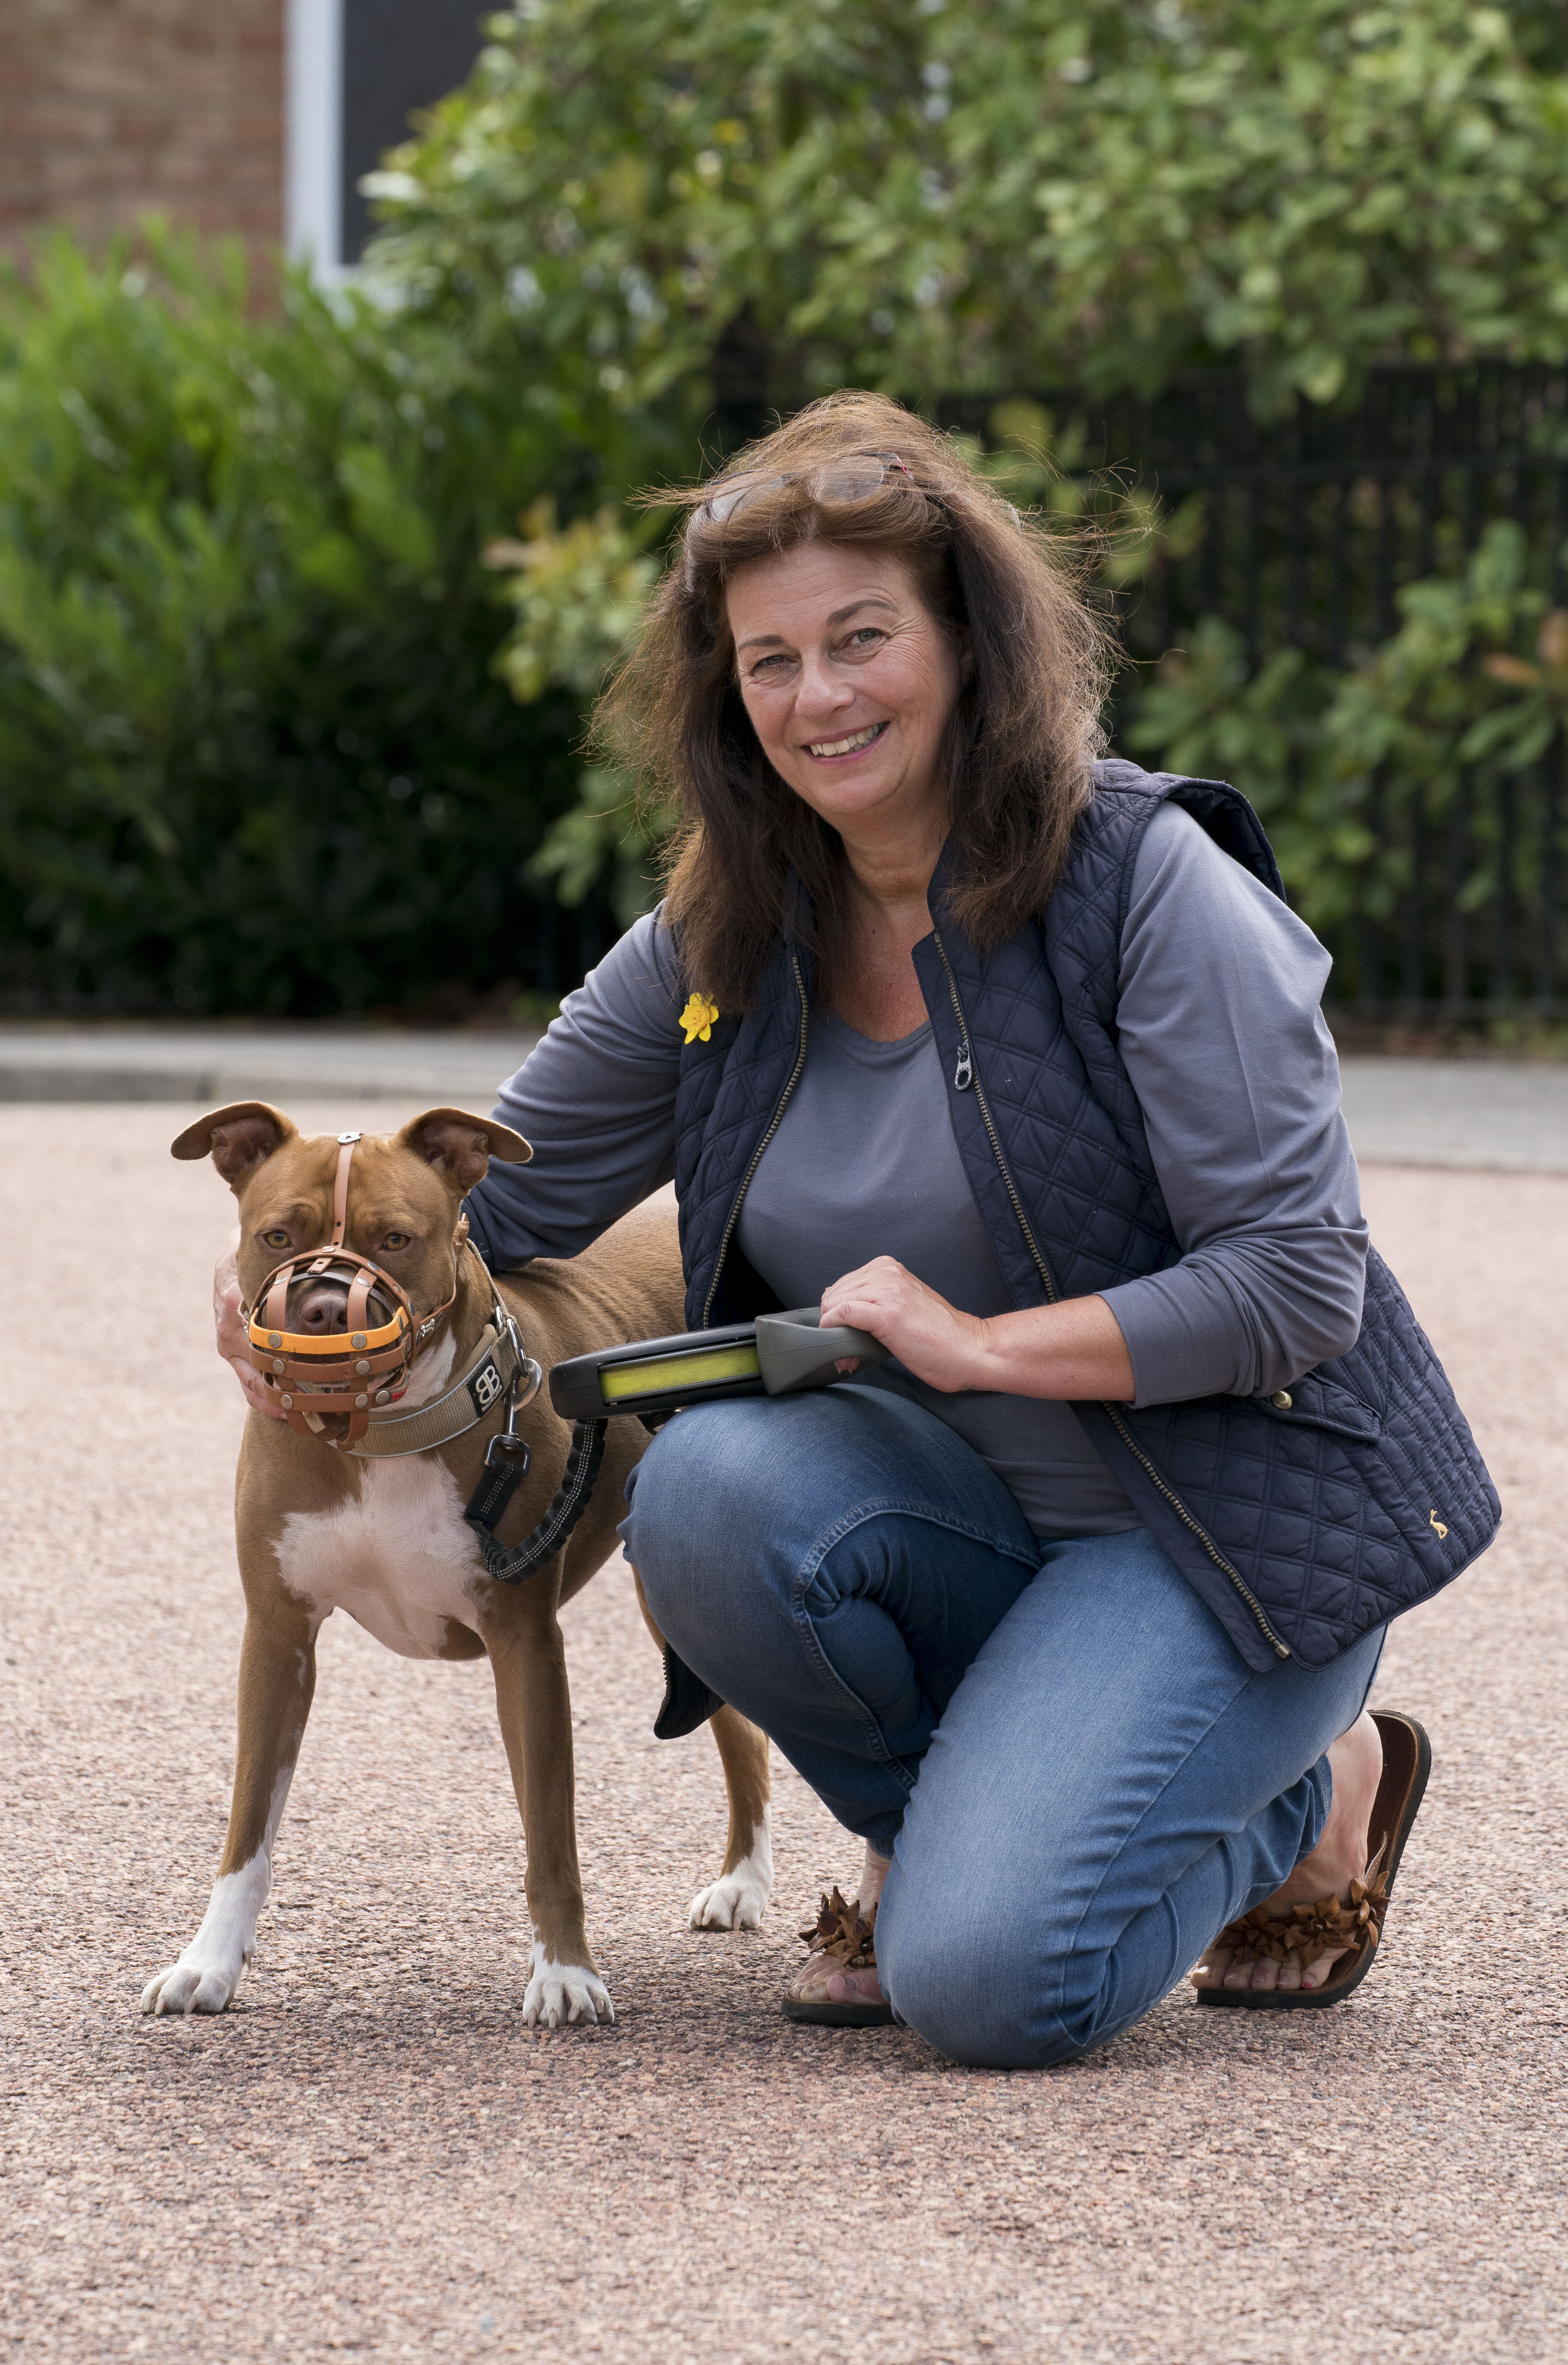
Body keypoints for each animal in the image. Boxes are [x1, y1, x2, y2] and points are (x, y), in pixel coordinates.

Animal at [141, 1097, 771, 2024]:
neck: (378, 1439)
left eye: (396, 1238)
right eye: (278, 1235)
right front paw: (209, 1961)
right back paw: (744, 1884)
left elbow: (550, 1834)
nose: (323, 1307)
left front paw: (565, 1972)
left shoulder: (525, 1644)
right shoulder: (278, 1635)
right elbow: (248, 1824)